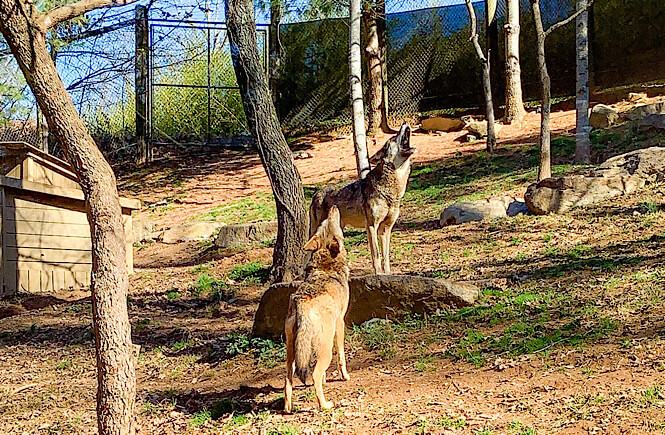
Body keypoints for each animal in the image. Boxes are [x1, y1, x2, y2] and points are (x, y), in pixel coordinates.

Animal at [282, 206, 350, 414]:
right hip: (325, 350)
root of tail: (301, 301)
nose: (333, 207)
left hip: (292, 354)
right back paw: (325, 405)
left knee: (288, 380)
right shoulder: (340, 323)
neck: (326, 266)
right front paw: (344, 376)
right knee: (314, 374)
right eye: (331, 222)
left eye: (324, 223)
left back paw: (288, 408)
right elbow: (342, 356)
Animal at [308, 122, 412, 274]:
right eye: (394, 137)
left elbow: (386, 256)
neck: (391, 191)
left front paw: (387, 273)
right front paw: (378, 273)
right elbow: (376, 255)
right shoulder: (371, 226)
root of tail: (316, 194)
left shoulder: (386, 229)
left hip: (338, 229)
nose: (404, 122)